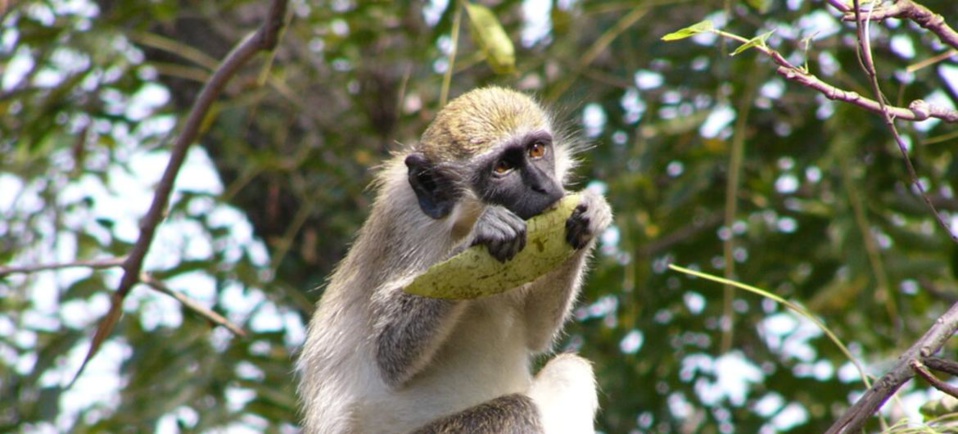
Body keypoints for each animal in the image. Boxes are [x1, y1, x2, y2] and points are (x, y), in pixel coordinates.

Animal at [298, 86, 616, 432]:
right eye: (502, 167)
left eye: (536, 150)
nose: (545, 187)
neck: (462, 219)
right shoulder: (406, 222)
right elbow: (389, 355)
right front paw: (483, 234)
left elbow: (536, 331)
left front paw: (591, 215)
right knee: (514, 408)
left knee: (570, 370)